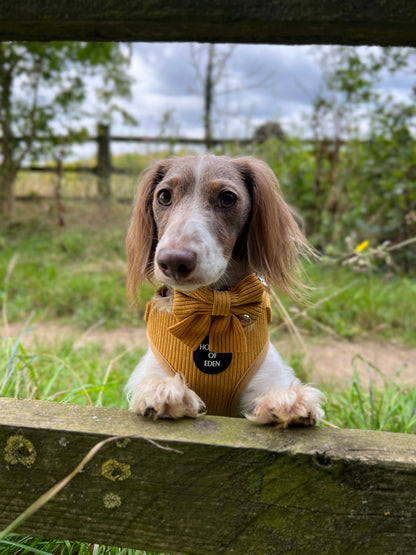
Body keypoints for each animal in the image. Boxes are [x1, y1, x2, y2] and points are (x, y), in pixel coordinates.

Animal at [126, 156, 324, 430]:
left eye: (227, 198)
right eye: (164, 196)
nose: (173, 261)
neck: (211, 311)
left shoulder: (265, 374)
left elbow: (275, 387)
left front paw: (286, 399)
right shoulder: (152, 366)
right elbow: (153, 379)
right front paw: (164, 389)